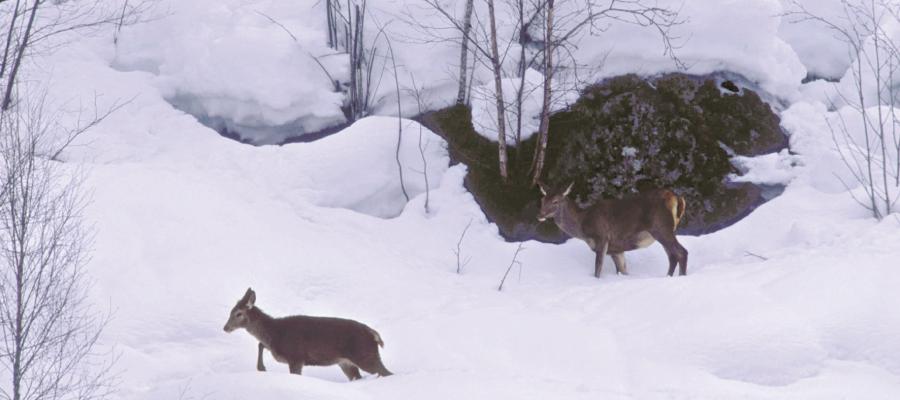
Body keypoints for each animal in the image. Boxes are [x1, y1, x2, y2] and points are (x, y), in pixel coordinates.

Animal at [221, 290, 390, 380]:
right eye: (230, 311)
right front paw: (261, 367)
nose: (225, 327)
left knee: (386, 373)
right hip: (346, 362)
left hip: (364, 354)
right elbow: (260, 343)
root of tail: (374, 334)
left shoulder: (296, 357)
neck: (274, 333)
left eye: (238, 313)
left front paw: (261, 367)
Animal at [536, 183, 688, 276]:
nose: (540, 215)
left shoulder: (602, 238)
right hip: (665, 230)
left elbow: (598, 271)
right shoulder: (616, 249)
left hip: (660, 227)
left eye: (555, 201)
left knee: (681, 252)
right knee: (672, 256)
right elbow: (623, 271)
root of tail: (677, 198)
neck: (582, 224)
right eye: (542, 200)